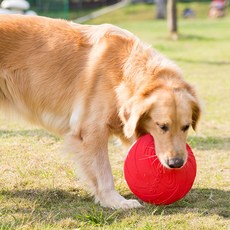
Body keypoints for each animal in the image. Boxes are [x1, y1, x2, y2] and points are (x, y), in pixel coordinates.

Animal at [0, 14, 200, 208]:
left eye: (186, 127)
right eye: (162, 126)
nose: (176, 164)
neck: (122, 71)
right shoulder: (91, 131)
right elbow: (104, 172)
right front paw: (115, 201)